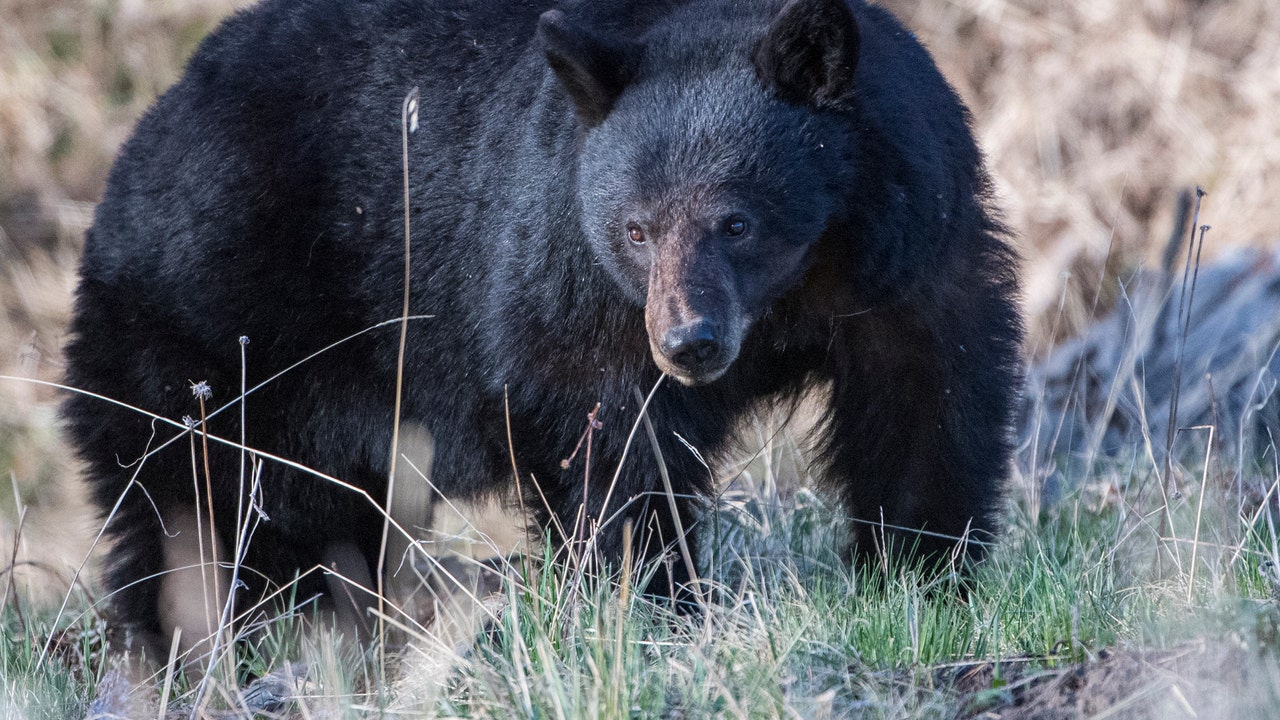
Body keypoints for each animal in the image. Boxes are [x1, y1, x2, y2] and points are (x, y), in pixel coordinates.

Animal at [64, 0, 1018, 650]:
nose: (690, 345)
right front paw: (648, 601)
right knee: (200, 504)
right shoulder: (575, 284)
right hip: (215, 336)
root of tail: (139, 144)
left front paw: (923, 575)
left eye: (735, 221)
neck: (799, 287)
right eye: (635, 229)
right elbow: (616, 448)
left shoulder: (912, 254)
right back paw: (203, 641)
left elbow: (926, 405)